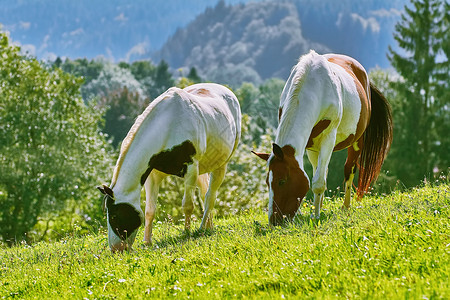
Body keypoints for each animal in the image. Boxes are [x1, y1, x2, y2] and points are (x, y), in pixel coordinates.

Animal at [97, 82, 241, 251]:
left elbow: (188, 205)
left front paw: (186, 233)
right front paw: (147, 241)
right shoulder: (153, 174)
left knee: (209, 197)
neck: (169, 126)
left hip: (220, 165)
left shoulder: (191, 169)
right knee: (205, 191)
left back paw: (201, 228)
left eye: (114, 215)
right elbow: (149, 210)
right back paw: (208, 227)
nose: (116, 249)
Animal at [255, 51, 392, 225]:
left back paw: (346, 206)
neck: (314, 89)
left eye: (282, 181)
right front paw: (314, 209)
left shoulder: (328, 139)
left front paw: (317, 216)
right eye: (267, 182)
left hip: (357, 141)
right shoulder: (310, 145)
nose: (275, 220)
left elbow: (318, 182)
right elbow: (316, 175)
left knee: (349, 169)